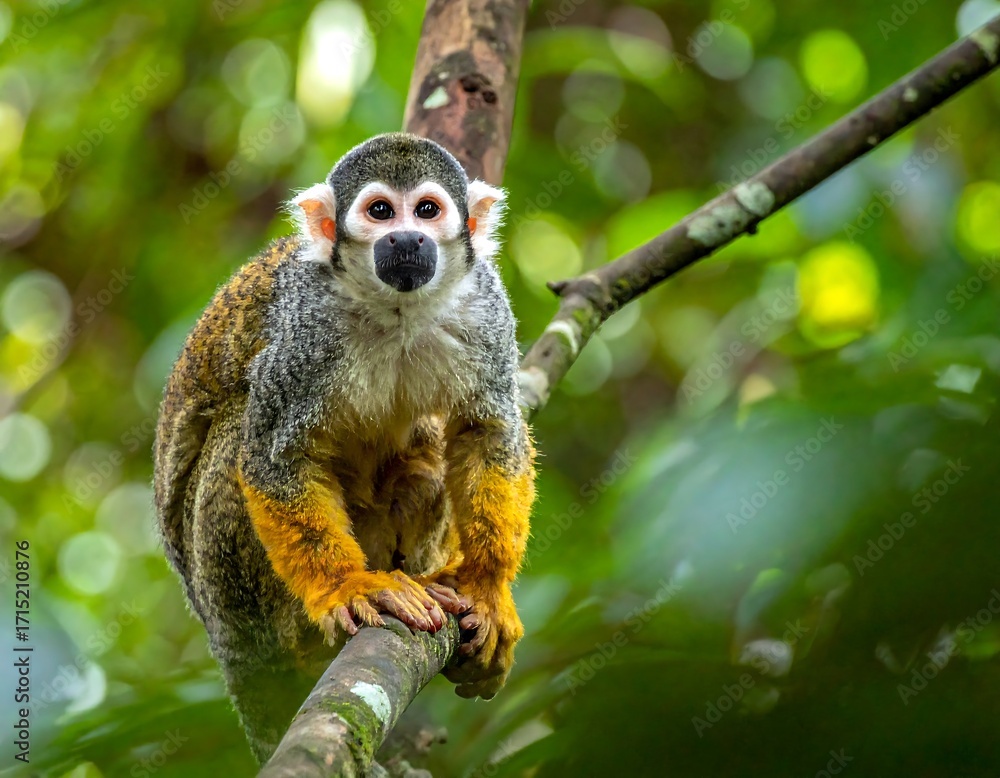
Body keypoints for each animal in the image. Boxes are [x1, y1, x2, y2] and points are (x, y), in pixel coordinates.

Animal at [153, 133, 536, 763]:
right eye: (380, 211)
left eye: (426, 210)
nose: (406, 238)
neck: (396, 310)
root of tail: (224, 646)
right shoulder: (305, 333)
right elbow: (274, 457)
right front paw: (347, 587)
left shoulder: (485, 308)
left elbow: (487, 430)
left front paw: (486, 588)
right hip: (229, 605)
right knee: (240, 423)